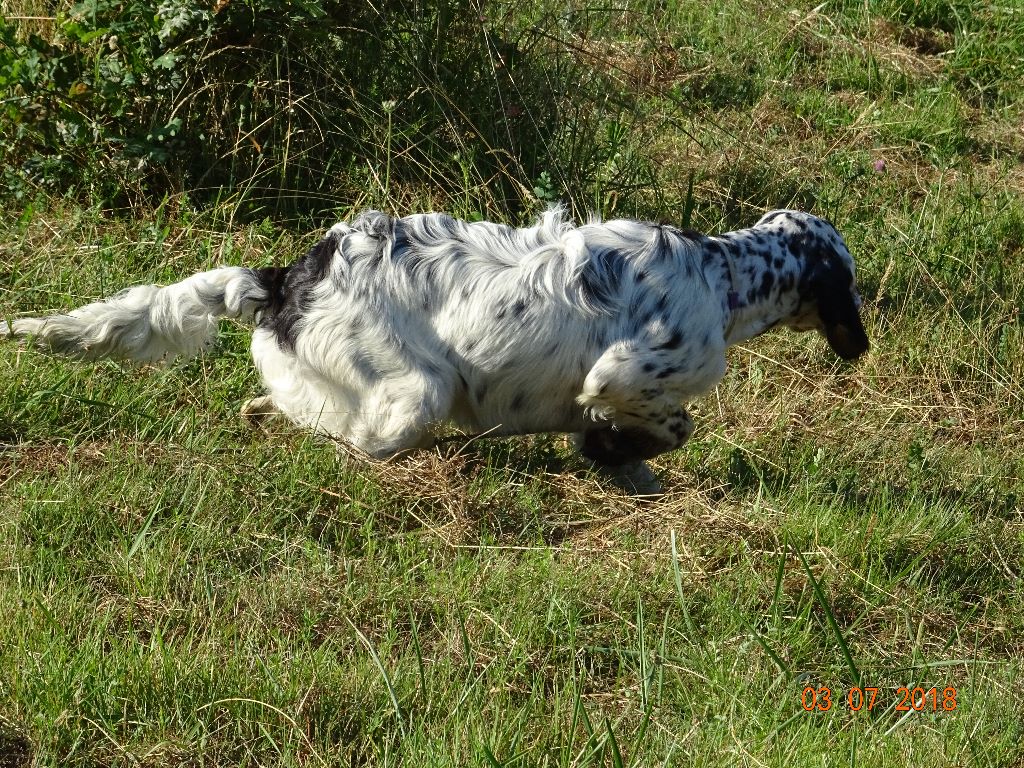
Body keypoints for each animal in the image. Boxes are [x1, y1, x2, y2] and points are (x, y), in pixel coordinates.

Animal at [4, 208, 868, 487]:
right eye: (850, 286)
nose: (860, 347)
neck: (723, 278)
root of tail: (284, 279)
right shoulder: (623, 371)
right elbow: (669, 424)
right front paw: (621, 453)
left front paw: (619, 466)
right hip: (412, 395)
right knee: (343, 434)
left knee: (286, 401)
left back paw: (257, 413)